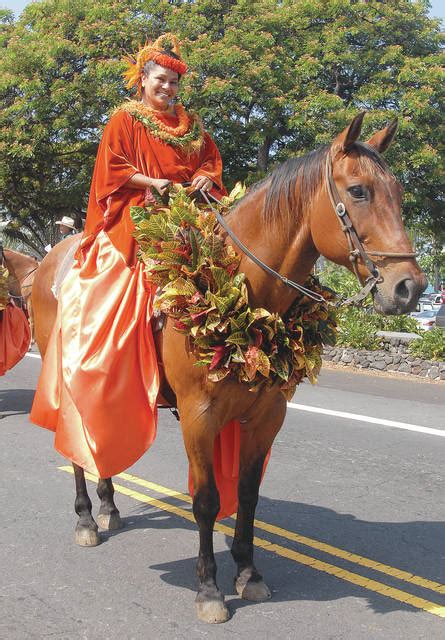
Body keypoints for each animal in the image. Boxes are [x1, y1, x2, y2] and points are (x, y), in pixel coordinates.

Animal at [31, 112, 424, 624]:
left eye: (398, 191)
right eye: (358, 191)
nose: (409, 289)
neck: (244, 290)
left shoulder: (266, 417)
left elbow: (248, 495)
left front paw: (248, 572)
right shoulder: (199, 417)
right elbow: (207, 500)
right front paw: (209, 589)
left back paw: (108, 506)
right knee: (77, 442)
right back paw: (84, 517)